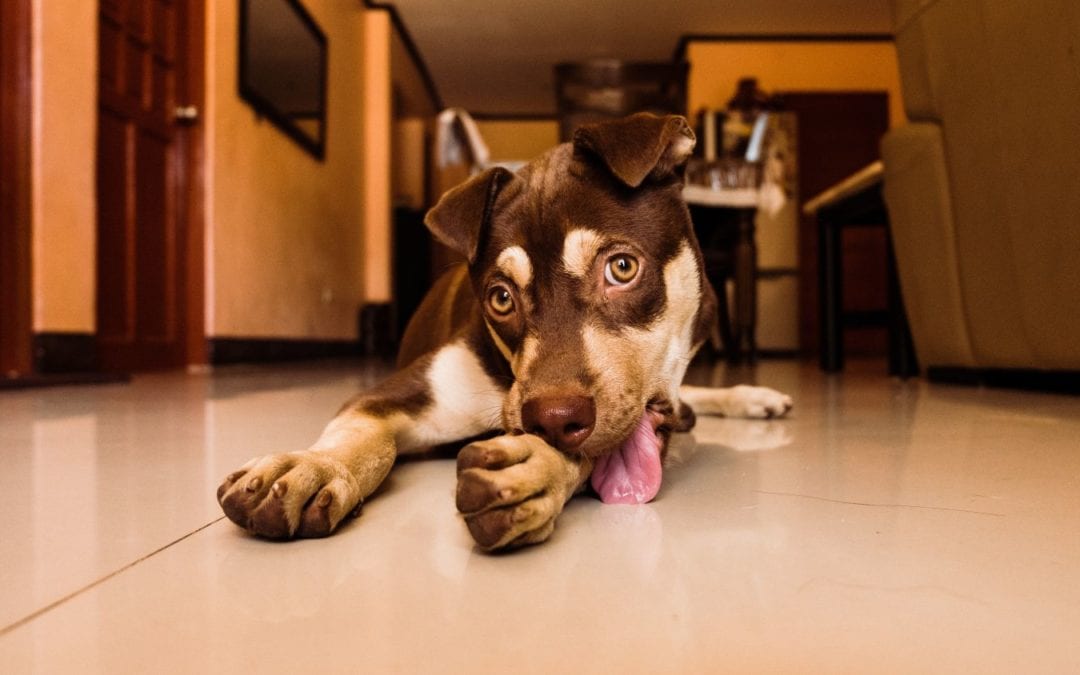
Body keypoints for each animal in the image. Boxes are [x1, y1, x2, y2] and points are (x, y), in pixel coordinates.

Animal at [214, 113, 790, 550]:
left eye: (622, 268)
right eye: (501, 298)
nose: (553, 418)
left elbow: (590, 447)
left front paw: (533, 470)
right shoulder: (395, 393)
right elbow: (362, 435)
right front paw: (312, 466)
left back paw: (749, 396)